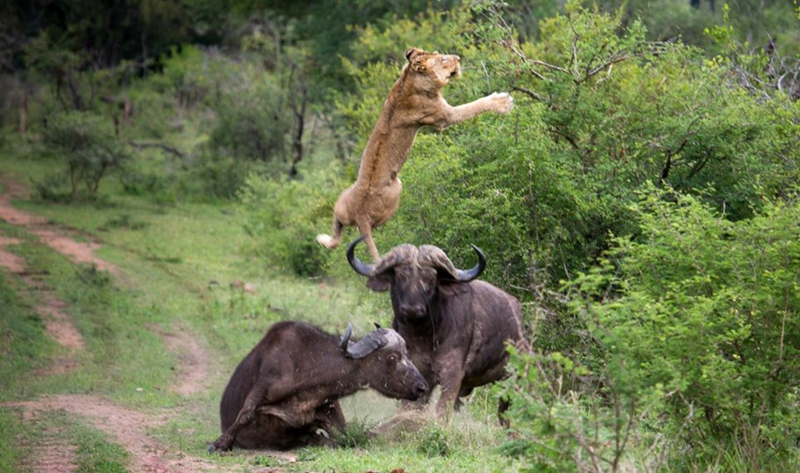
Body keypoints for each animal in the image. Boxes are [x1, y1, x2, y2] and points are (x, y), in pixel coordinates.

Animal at [209, 320, 428, 450]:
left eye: (407, 354)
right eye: (392, 357)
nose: (422, 387)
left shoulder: (330, 411)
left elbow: (349, 435)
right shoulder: (264, 386)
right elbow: (245, 414)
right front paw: (219, 443)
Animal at [316, 48, 516, 262]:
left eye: (440, 53)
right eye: (443, 59)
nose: (458, 58)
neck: (409, 80)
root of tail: (361, 216)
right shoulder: (444, 116)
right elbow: (474, 105)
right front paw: (504, 101)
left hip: (341, 204)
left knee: (337, 231)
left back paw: (322, 239)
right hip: (396, 190)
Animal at [346, 236, 520, 416]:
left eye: (430, 279)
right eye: (401, 276)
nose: (412, 309)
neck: (423, 337)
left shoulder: (452, 374)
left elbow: (442, 410)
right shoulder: (419, 375)